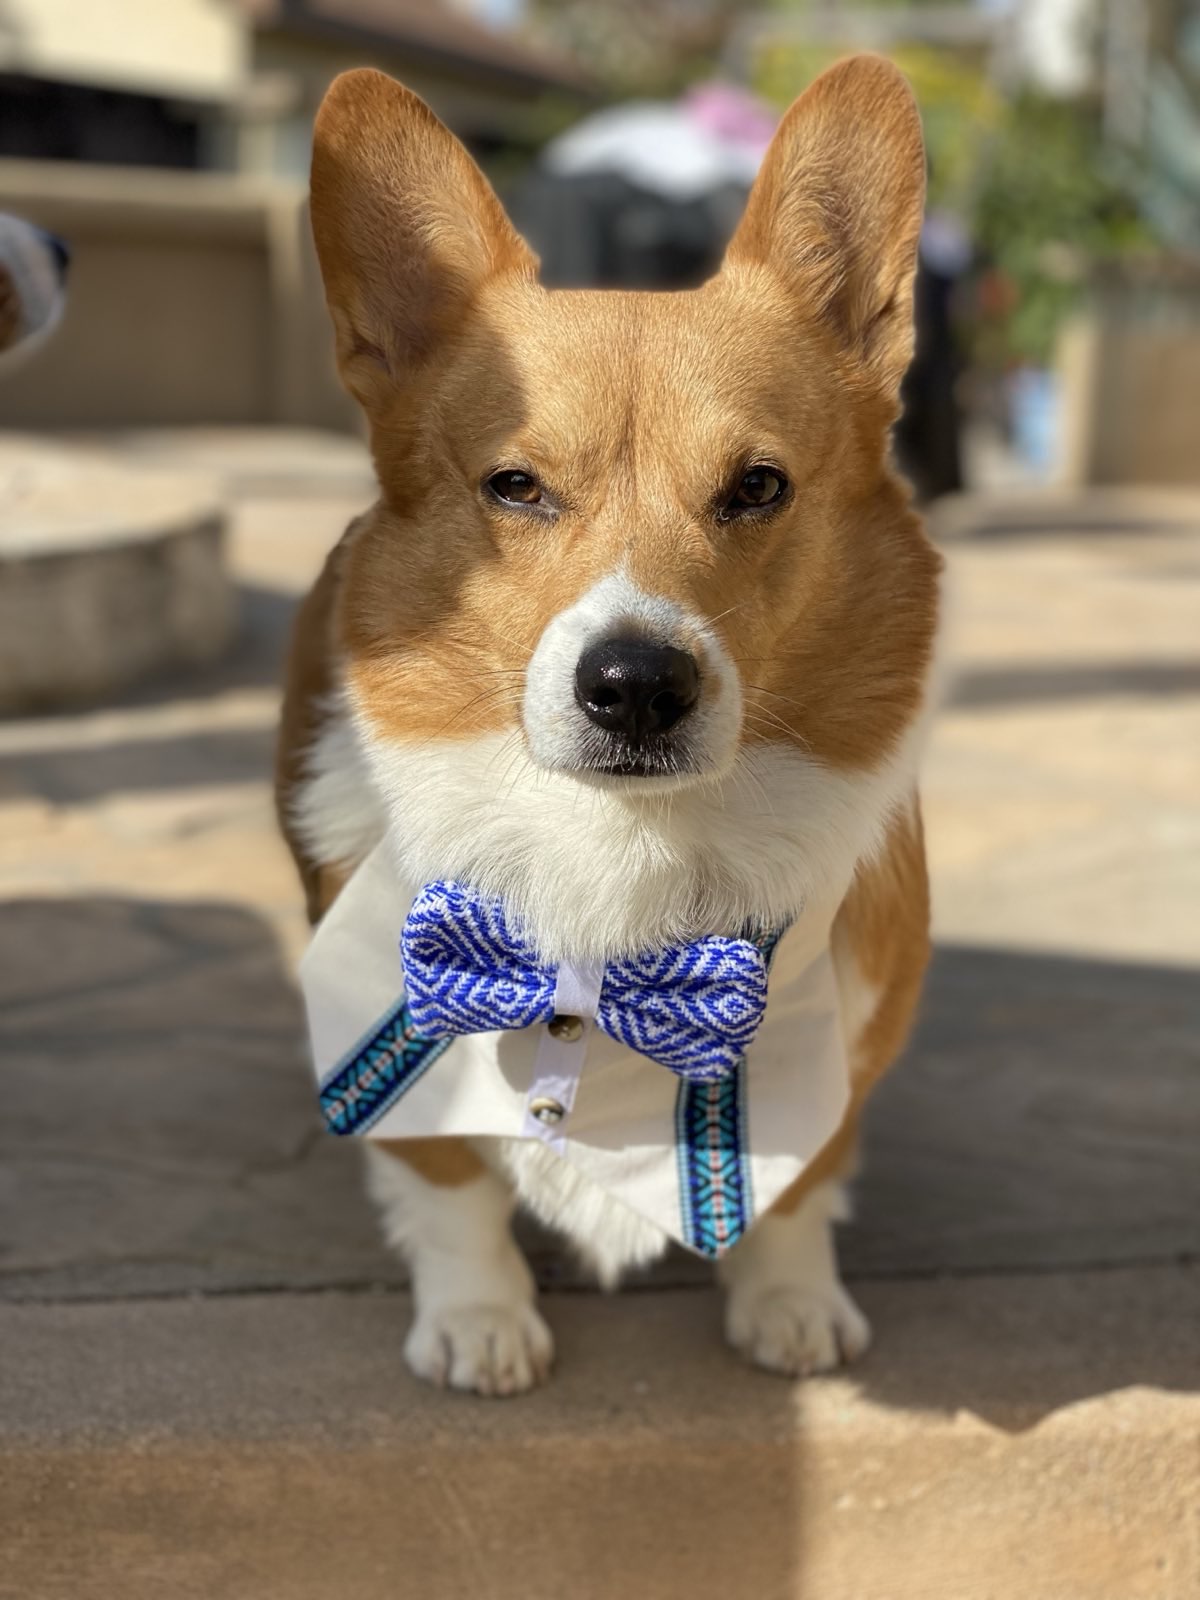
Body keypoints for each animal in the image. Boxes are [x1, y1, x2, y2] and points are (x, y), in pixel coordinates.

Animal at [276, 56, 947, 1395]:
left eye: (758, 485)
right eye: (515, 486)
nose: (636, 684)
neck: (623, 861)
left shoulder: (840, 1049)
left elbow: (798, 1187)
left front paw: (791, 1305)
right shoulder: (385, 1012)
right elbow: (451, 1184)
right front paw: (479, 1320)